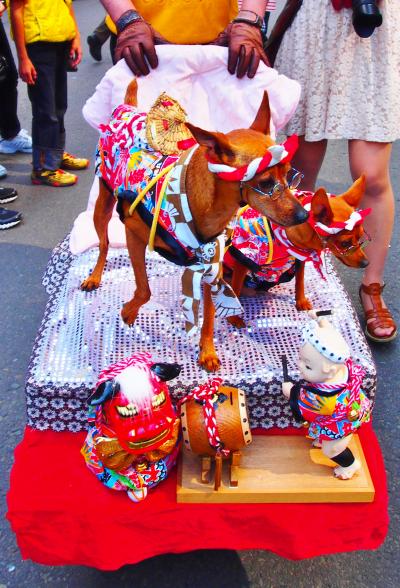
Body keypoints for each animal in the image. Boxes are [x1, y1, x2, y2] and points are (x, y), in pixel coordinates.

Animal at [80, 81, 306, 370]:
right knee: (104, 242)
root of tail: (128, 107)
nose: (304, 215)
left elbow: (208, 316)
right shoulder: (133, 235)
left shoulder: (211, 264)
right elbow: (144, 290)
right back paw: (95, 276)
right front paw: (129, 311)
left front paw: (207, 351)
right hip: (104, 204)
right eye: (266, 184)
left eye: (289, 175)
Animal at [227, 177, 370, 328]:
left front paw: (300, 301)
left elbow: (300, 281)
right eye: (345, 244)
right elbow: (235, 289)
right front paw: (233, 318)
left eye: (361, 238)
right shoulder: (244, 260)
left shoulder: (299, 259)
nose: (366, 263)